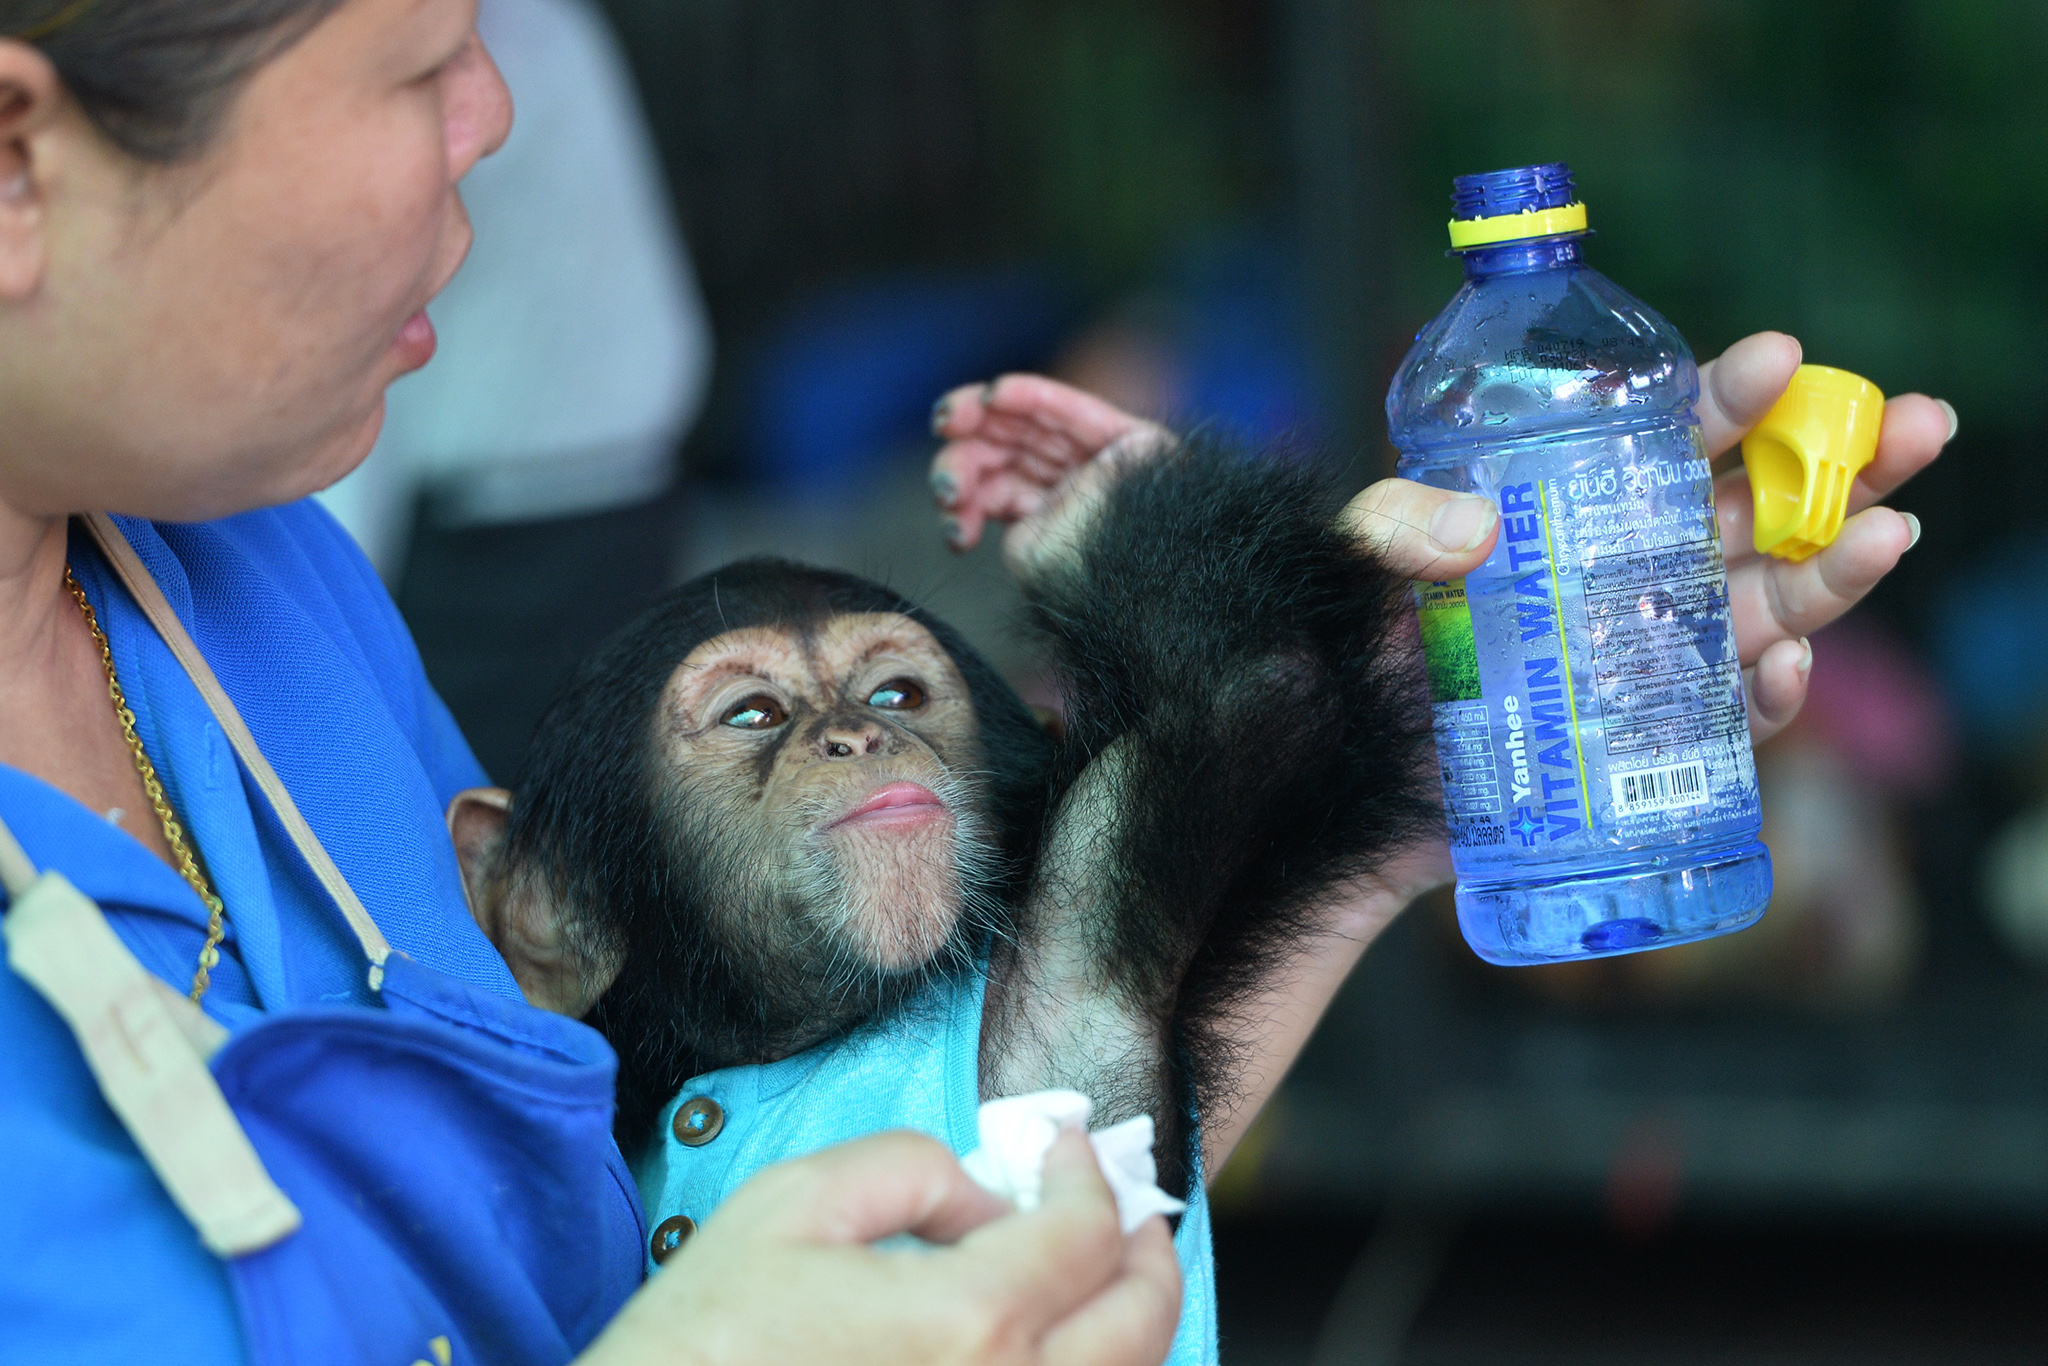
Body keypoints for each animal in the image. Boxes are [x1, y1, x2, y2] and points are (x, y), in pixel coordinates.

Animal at [448, 428, 1441, 1359]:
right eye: (754, 714)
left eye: (896, 694)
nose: (853, 735)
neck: (794, 1038)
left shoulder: (1079, 965)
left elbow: (1254, 688)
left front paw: (1064, 483)